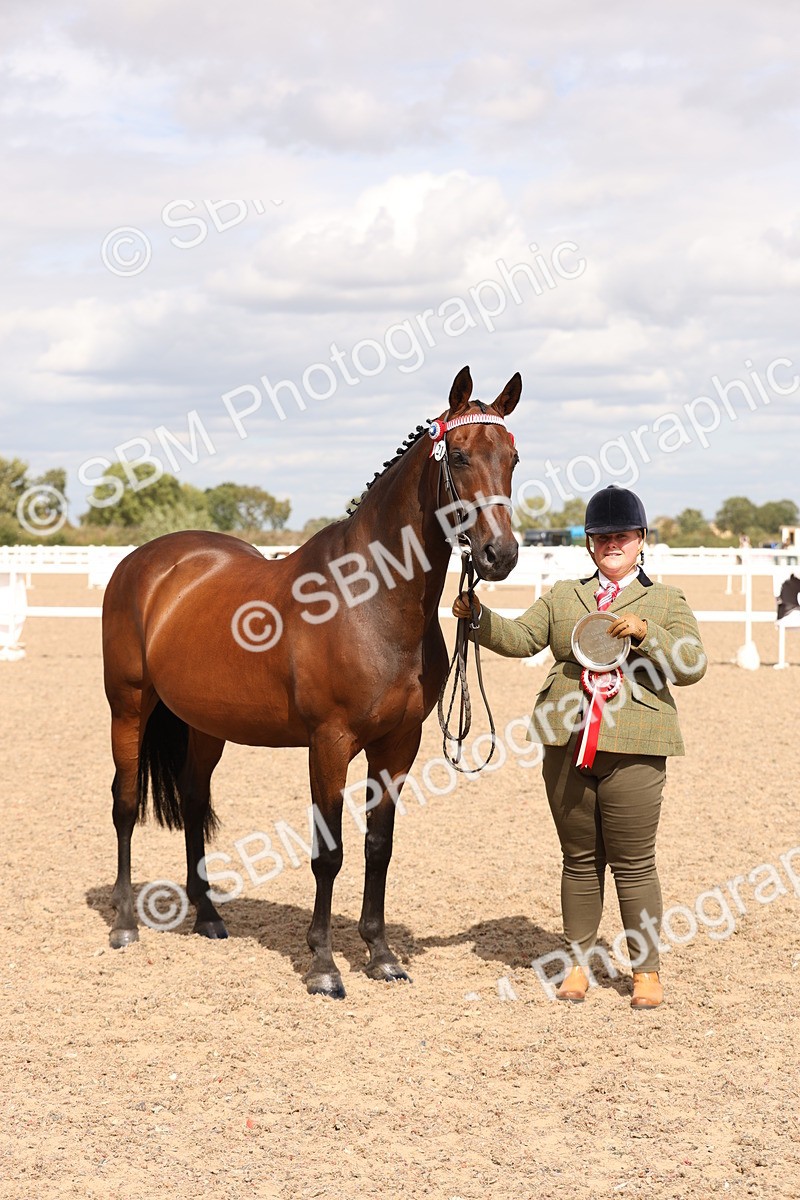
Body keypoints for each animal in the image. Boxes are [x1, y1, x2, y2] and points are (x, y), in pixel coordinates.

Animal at [102, 365, 521, 998]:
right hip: (128, 707)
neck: (370, 601)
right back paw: (126, 924)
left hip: (205, 725)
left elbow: (378, 846)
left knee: (195, 801)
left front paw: (381, 955)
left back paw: (208, 916)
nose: (501, 554)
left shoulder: (397, 745)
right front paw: (324, 965)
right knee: (125, 805)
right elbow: (330, 851)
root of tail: (144, 562)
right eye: (462, 456)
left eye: (514, 457)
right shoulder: (329, 742)